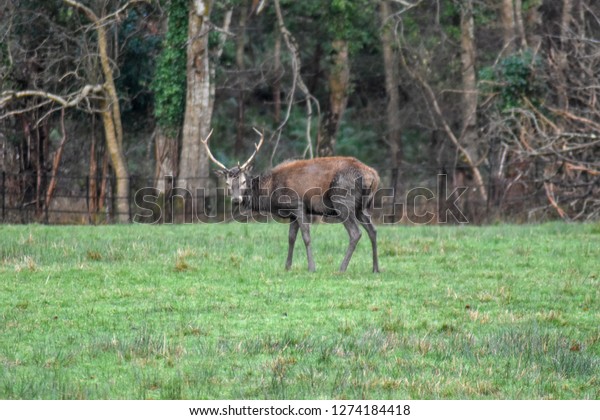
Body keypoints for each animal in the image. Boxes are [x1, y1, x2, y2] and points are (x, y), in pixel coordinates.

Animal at [202, 128, 380, 272]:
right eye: (227, 183)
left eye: (243, 181)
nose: (236, 200)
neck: (272, 193)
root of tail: (373, 176)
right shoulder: (292, 213)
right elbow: (291, 238)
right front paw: (287, 266)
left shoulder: (298, 205)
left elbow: (306, 236)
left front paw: (311, 267)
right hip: (361, 206)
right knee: (373, 231)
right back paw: (376, 268)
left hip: (343, 201)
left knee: (355, 233)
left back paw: (342, 268)